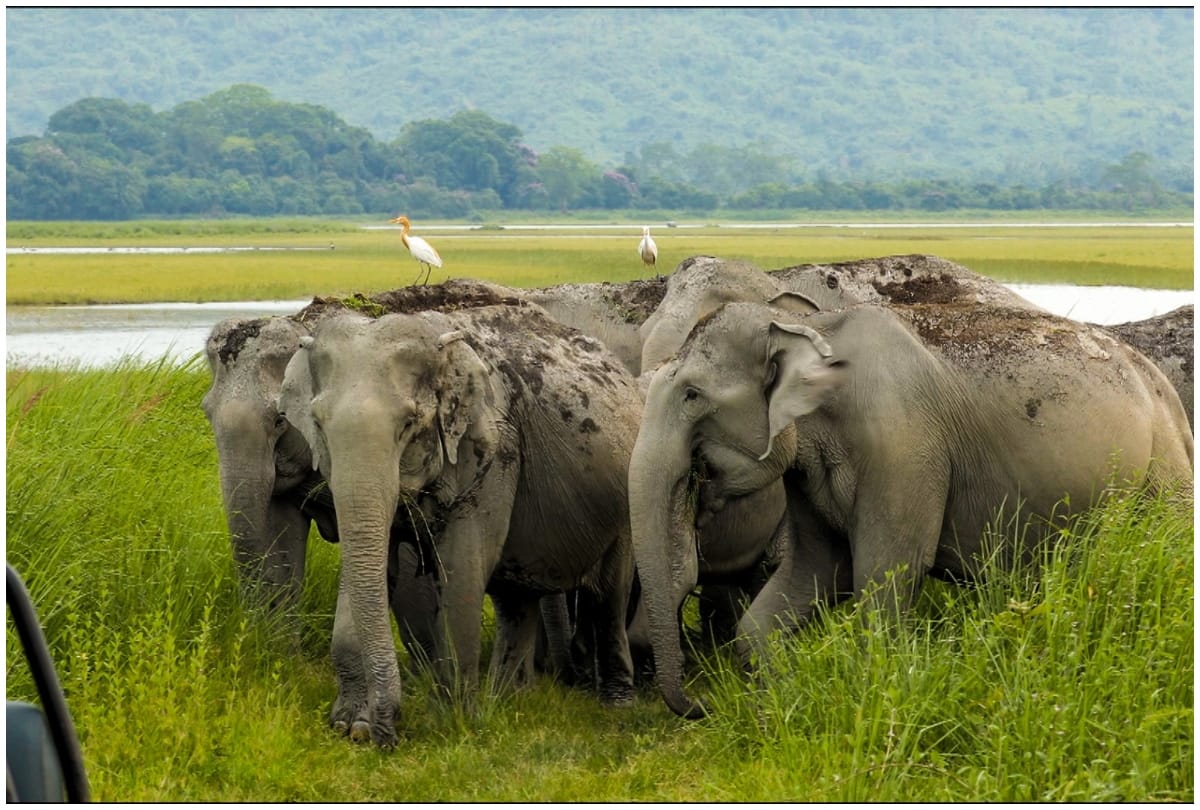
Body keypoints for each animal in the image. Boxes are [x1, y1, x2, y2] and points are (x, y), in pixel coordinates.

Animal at [277, 302, 642, 748]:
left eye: (408, 424)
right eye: (318, 425)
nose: (387, 733)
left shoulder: (494, 451)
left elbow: (462, 569)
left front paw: (452, 724)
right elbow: (370, 565)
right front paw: (351, 725)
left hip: (625, 499)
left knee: (608, 593)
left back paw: (615, 704)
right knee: (516, 598)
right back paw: (510, 699)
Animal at [629, 297, 1193, 718]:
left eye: (692, 395)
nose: (702, 706)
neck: (812, 327)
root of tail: (1167, 390)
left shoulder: (903, 444)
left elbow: (884, 573)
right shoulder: (810, 475)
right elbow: (815, 571)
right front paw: (779, 696)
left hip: (1162, 468)